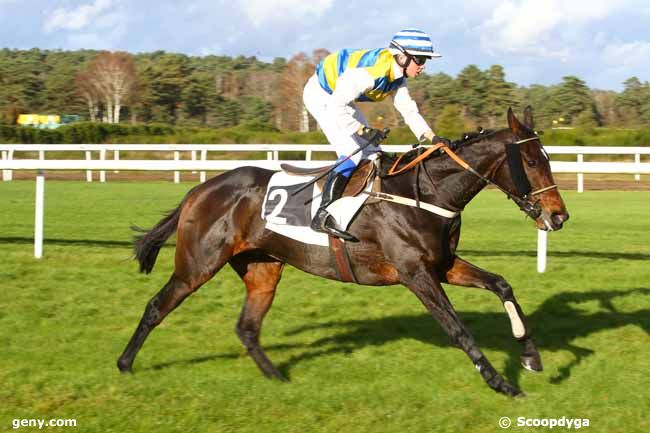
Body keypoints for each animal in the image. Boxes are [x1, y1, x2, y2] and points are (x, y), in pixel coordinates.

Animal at [116, 107, 568, 394]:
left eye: (547, 157)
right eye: (531, 161)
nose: (559, 216)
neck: (425, 192)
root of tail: (200, 189)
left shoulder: (443, 264)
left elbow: (502, 284)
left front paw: (531, 356)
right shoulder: (415, 273)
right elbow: (457, 328)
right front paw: (501, 383)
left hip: (263, 268)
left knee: (247, 327)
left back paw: (277, 378)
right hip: (199, 264)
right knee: (156, 306)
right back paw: (124, 364)